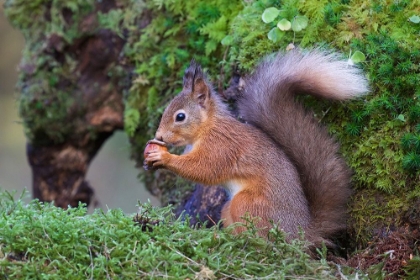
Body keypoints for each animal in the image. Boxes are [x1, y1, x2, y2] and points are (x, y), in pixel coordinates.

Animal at [144, 49, 368, 246]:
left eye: (180, 116)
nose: (159, 136)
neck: (207, 128)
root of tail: (301, 234)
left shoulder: (222, 146)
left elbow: (204, 169)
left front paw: (164, 158)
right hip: (229, 208)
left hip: (247, 204)